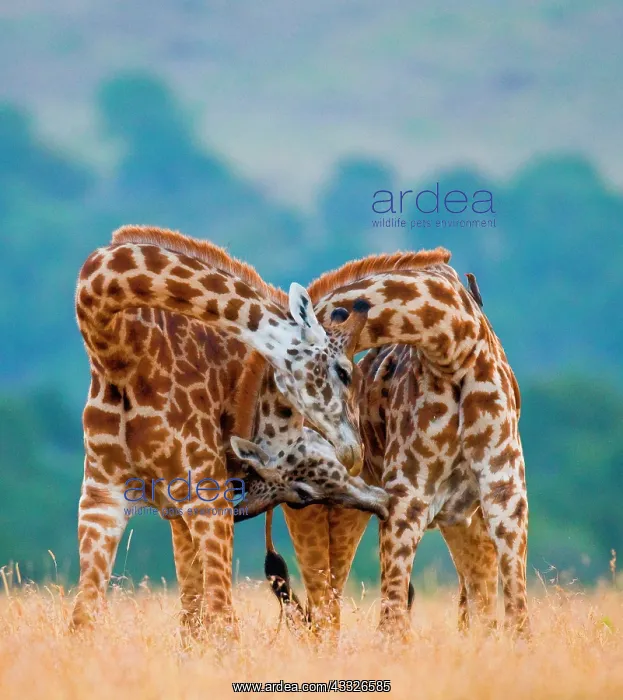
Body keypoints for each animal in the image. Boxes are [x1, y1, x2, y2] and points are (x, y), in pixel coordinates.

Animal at [71, 225, 371, 631]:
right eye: (342, 371)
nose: (353, 451)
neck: (119, 349)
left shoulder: (208, 494)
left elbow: (222, 618)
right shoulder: (102, 498)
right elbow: (83, 615)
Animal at [271, 257, 528, 638]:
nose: (349, 453)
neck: (456, 346)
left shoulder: (504, 489)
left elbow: (516, 613)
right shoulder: (407, 495)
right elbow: (393, 619)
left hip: (458, 522)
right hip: (318, 512)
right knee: (324, 606)